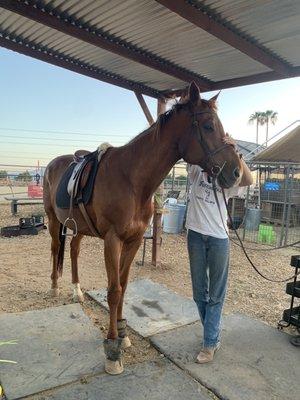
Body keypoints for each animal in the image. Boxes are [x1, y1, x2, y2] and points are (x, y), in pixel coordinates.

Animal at [43, 81, 243, 376]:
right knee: (56, 248)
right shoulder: (112, 240)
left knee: (73, 250)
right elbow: (113, 291)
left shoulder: (134, 240)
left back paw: (77, 291)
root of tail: (53, 163)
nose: (236, 173)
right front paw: (112, 349)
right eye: (208, 126)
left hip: (77, 227)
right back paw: (55, 288)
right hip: (54, 220)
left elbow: (124, 285)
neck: (131, 179)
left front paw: (123, 334)